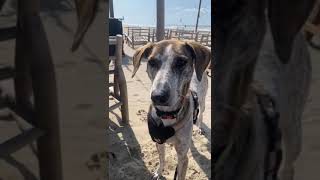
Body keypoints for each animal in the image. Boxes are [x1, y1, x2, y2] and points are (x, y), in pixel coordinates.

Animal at [131, 39, 211, 180]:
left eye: (181, 62)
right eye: (151, 62)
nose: (158, 96)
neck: (167, 115)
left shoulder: (183, 157)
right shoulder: (159, 142)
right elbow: (162, 159)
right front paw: (159, 172)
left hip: (202, 101)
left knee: (201, 114)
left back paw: (200, 127)